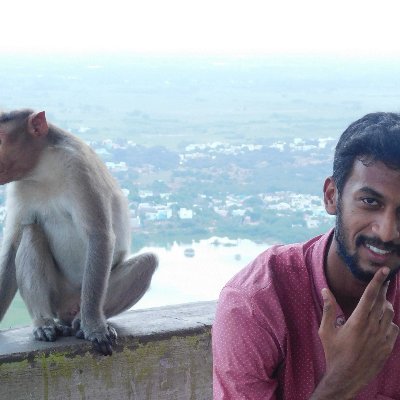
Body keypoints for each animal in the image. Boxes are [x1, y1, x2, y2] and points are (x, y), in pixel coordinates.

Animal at [0, 108, 158, 354]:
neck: (42, 167)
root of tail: (67, 308)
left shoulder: (79, 168)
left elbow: (99, 236)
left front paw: (94, 327)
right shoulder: (19, 186)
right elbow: (12, 246)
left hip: (83, 294)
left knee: (147, 263)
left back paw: (81, 322)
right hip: (57, 294)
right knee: (32, 232)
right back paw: (44, 322)